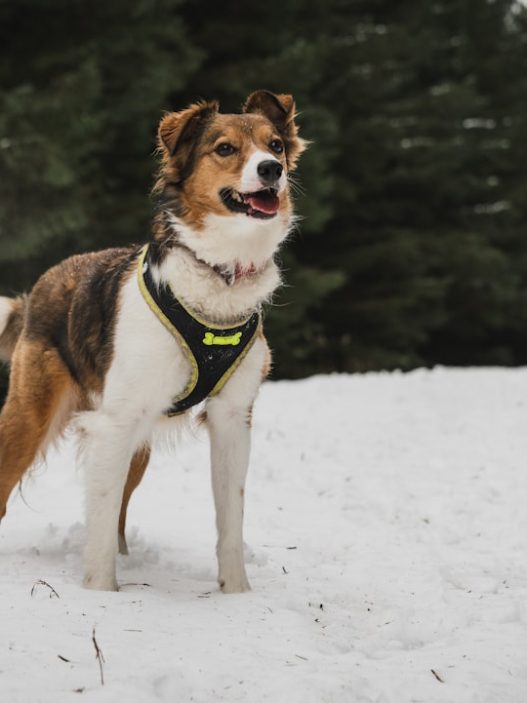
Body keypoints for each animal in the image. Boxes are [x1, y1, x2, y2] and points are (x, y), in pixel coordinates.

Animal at [0, 89, 306, 592]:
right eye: (225, 148)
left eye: (275, 145)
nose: (271, 171)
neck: (218, 275)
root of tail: (41, 285)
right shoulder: (115, 422)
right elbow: (101, 522)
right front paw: (101, 594)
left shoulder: (231, 418)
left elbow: (231, 518)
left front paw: (237, 595)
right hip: (31, 416)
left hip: (137, 438)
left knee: (121, 508)